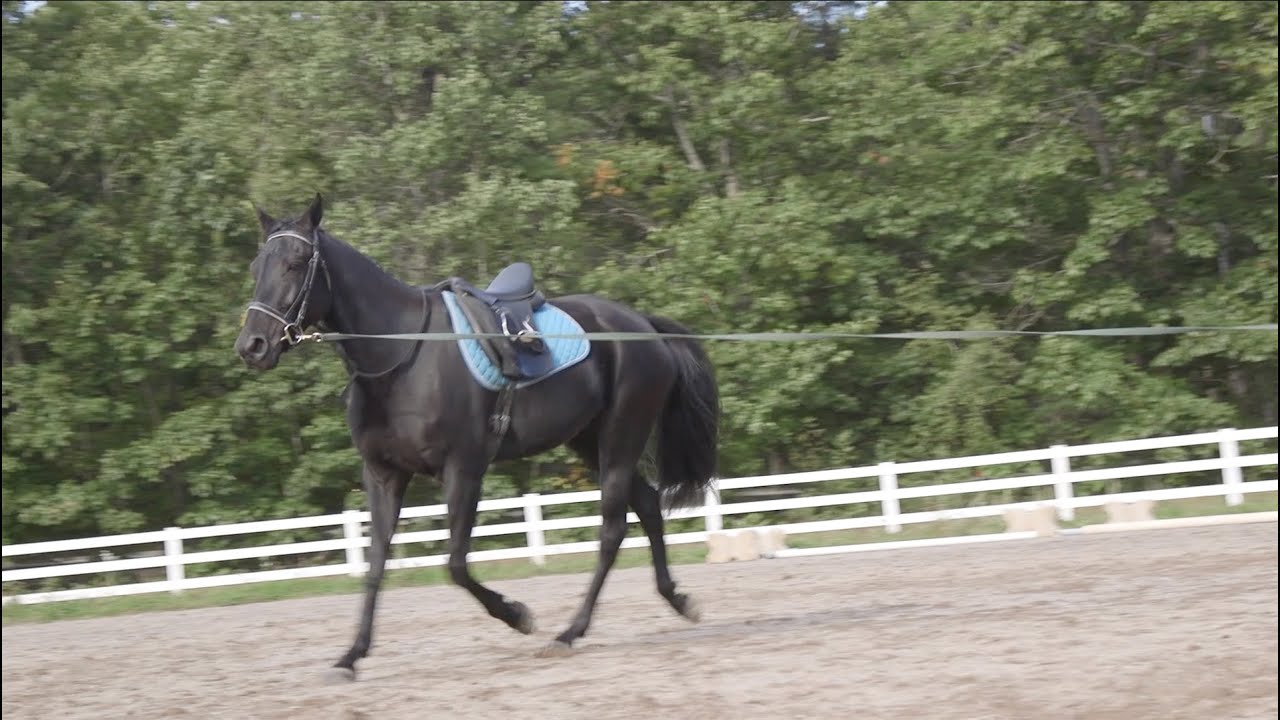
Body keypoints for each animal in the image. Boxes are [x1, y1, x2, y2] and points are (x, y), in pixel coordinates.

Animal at [233, 194, 720, 680]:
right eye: (257, 267)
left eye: (296, 263)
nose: (252, 345)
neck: (400, 355)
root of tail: (642, 324)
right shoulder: (384, 475)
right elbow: (376, 564)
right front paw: (351, 655)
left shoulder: (463, 471)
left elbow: (455, 564)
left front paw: (518, 615)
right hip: (589, 442)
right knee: (649, 507)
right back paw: (676, 599)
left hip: (620, 438)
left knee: (612, 530)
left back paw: (570, 632)